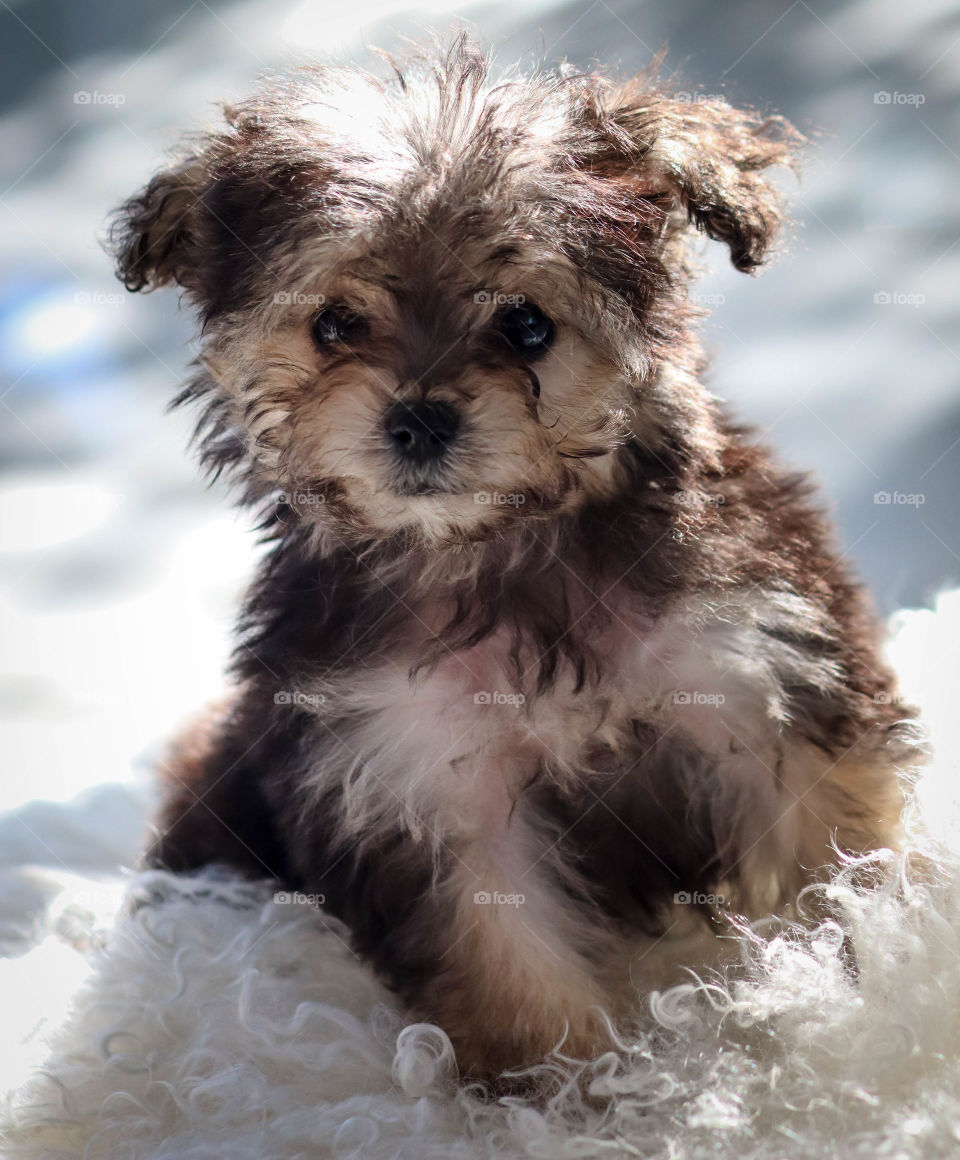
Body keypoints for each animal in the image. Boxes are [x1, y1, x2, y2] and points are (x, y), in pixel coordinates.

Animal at [112, 38, 922, 1085]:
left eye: (527, 326)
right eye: (333, 325)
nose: (419, 418)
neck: (498, 548)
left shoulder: (760, 681)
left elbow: (835, 845)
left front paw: (874, 979)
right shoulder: (413, 774)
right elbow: (501, 955)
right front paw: (581, 1090)